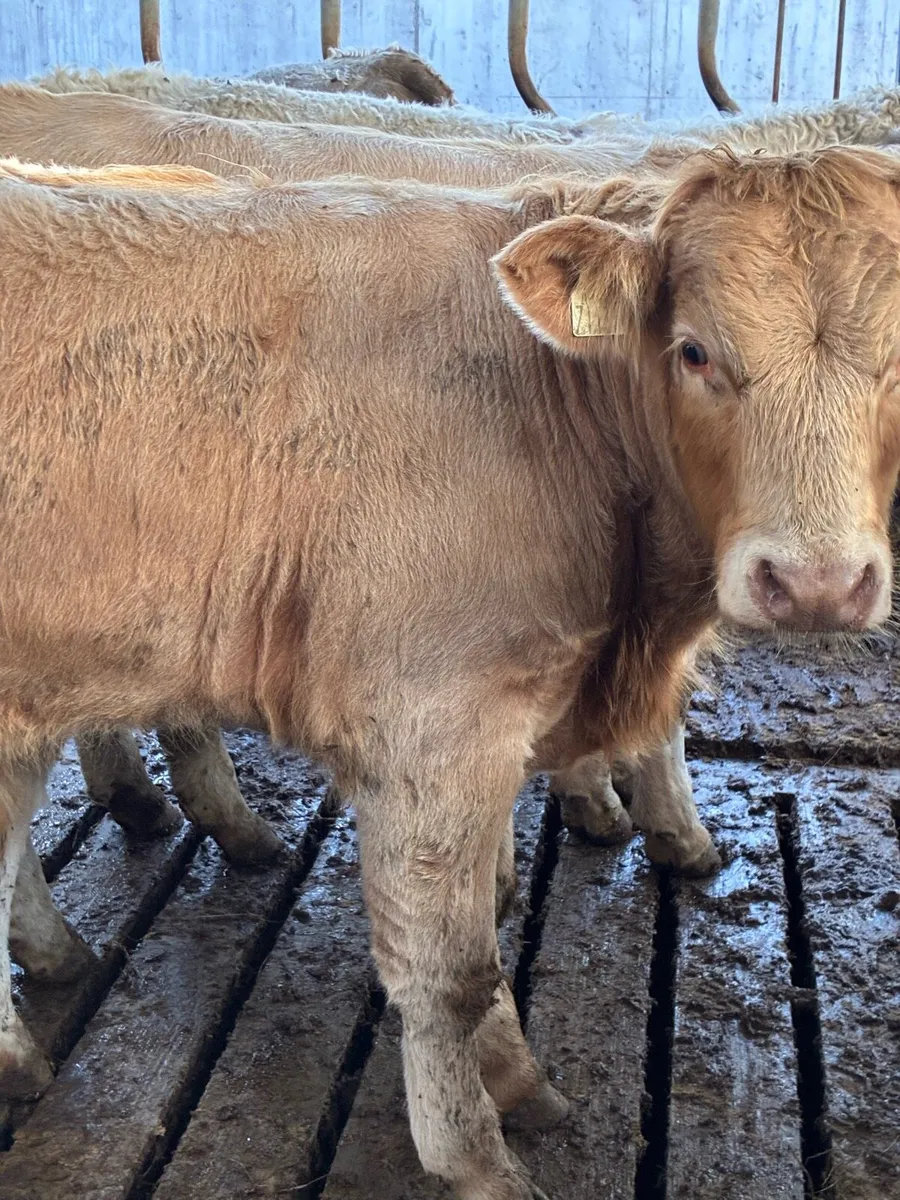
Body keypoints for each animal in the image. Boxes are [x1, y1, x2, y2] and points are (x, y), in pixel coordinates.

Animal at [0, 149, 898, 1200]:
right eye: (693, 351)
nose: (817, 583)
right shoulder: (431, 726)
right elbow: (450, 970)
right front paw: (474, 1154)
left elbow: (490, 922)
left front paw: (514, 1078)